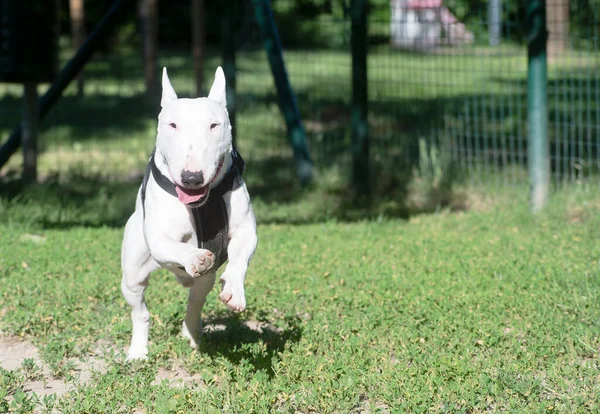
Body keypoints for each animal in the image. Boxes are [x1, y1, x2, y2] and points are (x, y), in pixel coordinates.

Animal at [120, 66, 256, 360]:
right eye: (172, 125)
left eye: (214, 125)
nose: (191, 178)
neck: (201, 203)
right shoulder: (159, 240)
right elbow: (177, 246)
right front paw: (195, 256)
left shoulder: (246, 231)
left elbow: (240, 256)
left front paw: (234, 290)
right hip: (133, 274)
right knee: (140, 312)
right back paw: (138, 351)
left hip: (204, 282)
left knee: (195, 301)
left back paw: (191, 333)